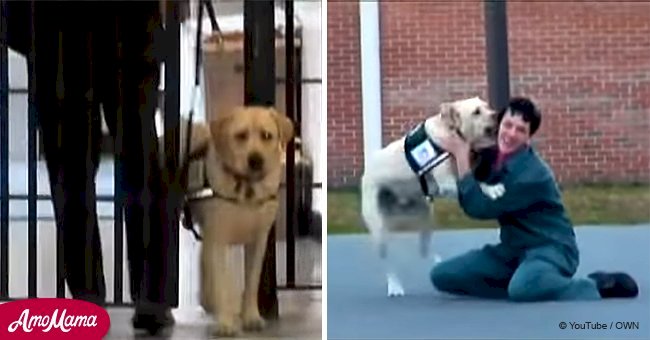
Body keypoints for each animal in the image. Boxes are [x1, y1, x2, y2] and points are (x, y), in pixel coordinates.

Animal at [177, 105, 292, 334]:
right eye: (240, 135)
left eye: (267, 136)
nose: (255, 160)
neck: (246, 188)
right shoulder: (218, 240)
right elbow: (222, 283)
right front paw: (225, 322)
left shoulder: (258, 242)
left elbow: (252, 283)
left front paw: (251, 316)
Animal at [362, 96, 504, 298]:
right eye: (477, 112)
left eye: (487, 106)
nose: (496, 114)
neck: (451, 130)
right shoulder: (447, 183)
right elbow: (477, 183)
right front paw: (492, 189)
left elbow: (475, 179)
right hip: (379, 228)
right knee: (387, 262)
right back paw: (395, 286)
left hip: (426, 218)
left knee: (424, 249)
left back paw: (436, 261)